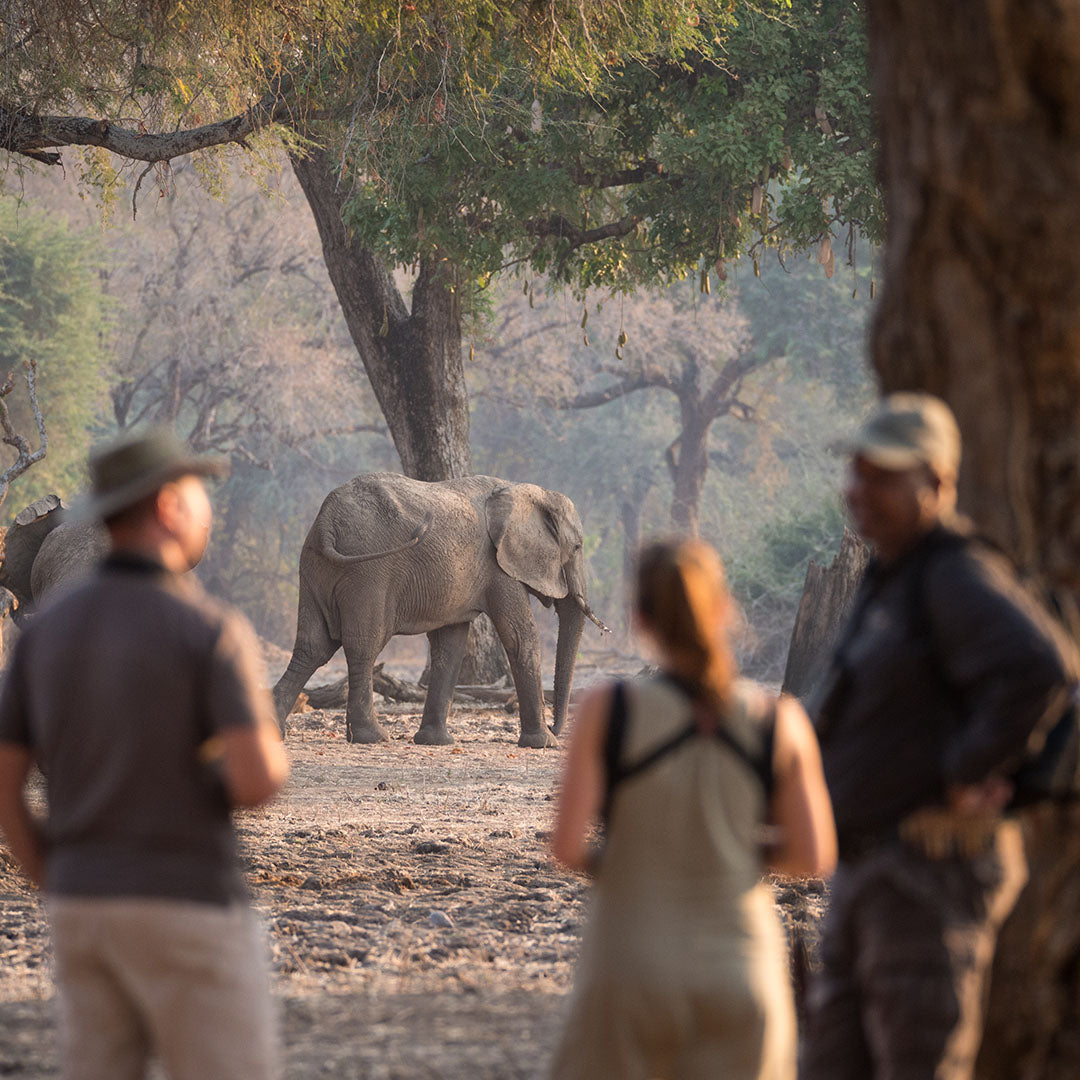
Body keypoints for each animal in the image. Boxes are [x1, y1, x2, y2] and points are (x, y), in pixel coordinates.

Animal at [272, 472, 608, 748]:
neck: (525, 491)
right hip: (367, 572)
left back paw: (275, 731)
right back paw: (372, 737)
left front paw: (435, 741)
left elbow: (451, 645)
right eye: (577, 547)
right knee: (363, 646)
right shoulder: (500, 567)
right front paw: (544, 743)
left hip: (314, 567)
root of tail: (326, 523)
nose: (554, 725)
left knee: (312, 647)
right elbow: (520, 637)